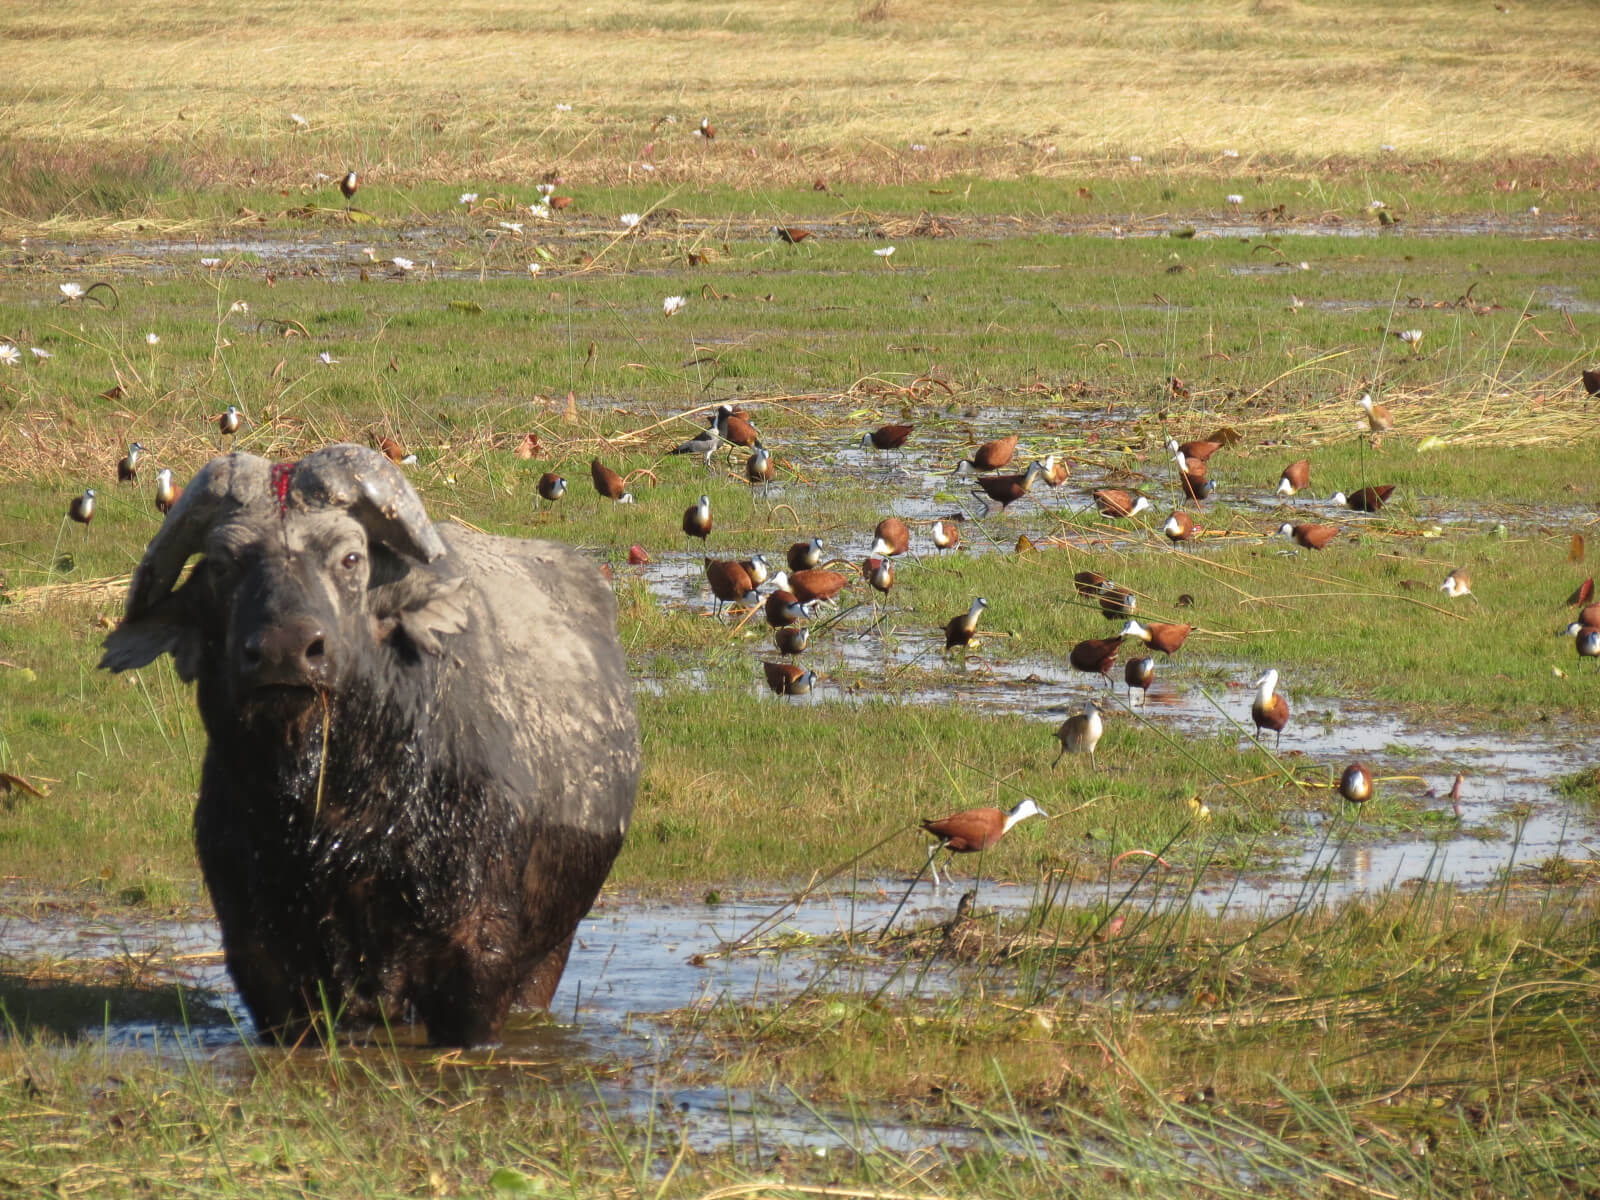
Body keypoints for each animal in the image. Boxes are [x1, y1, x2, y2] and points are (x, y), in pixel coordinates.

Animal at [100, 445, 639, 1046]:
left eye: (351, 559)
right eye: (221, 564)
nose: (286, 649)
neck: (338, 810)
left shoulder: (478, 951)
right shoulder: (261, 954)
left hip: (553, 945)